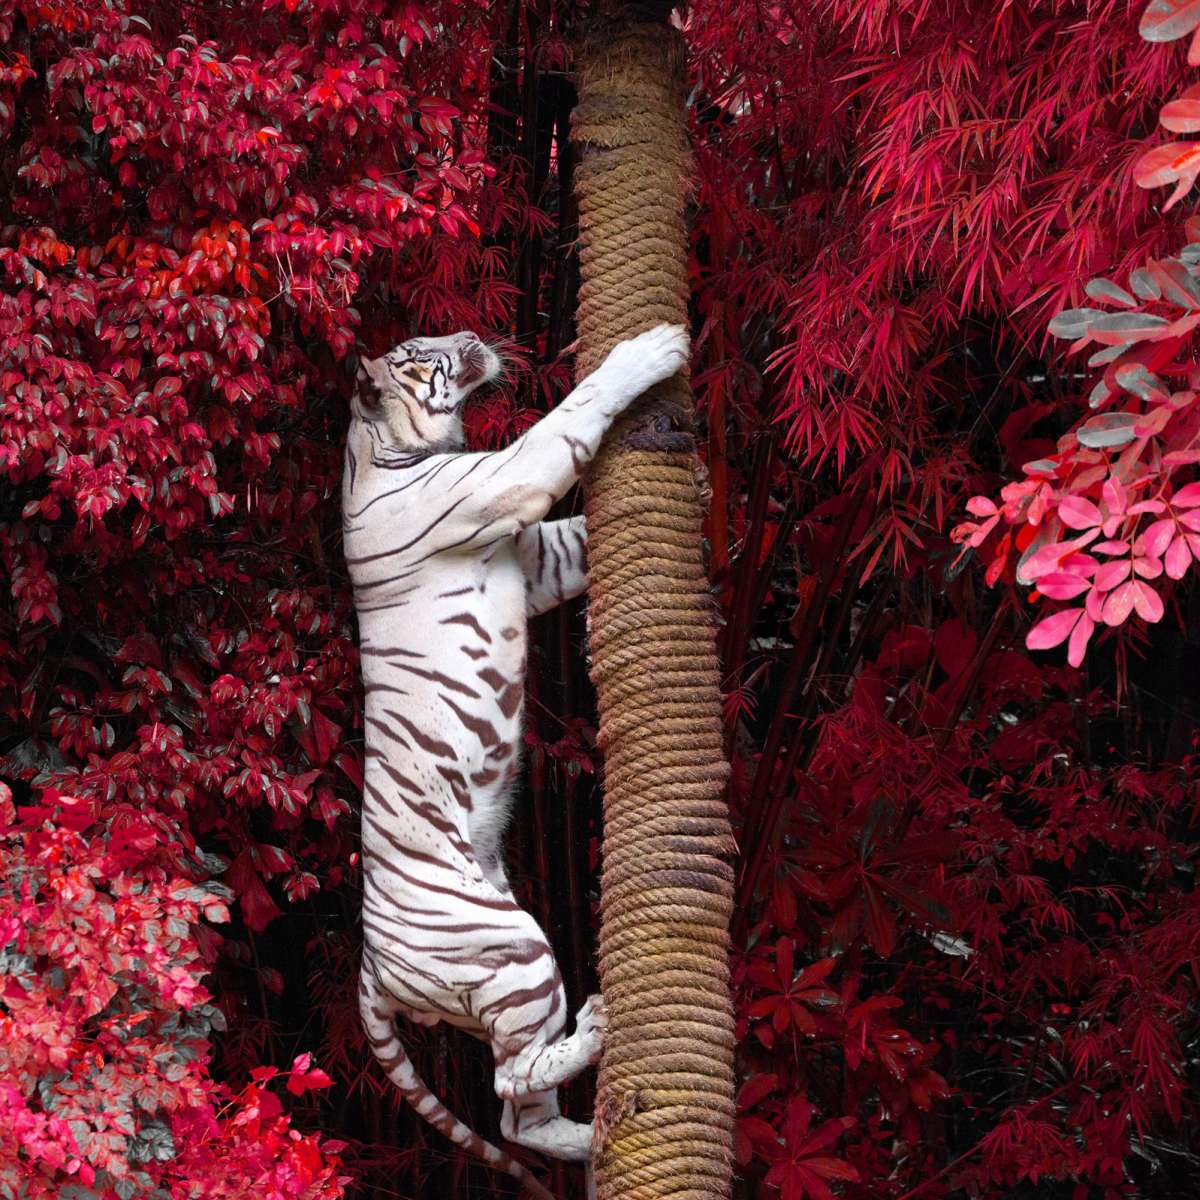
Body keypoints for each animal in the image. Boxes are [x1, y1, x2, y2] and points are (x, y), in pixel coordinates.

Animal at [342, 322, 689, 1197]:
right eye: (422, 352)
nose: (469, 332)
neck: (379, 447)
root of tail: (369, 967)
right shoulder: (506, 480)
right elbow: (573, 414)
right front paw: (653, 350)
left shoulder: (537, 559)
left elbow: (577, 535)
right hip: (513, 950)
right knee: (504, 1092)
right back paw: (595, 1035)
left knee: (517, 1116)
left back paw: (586, 1132)